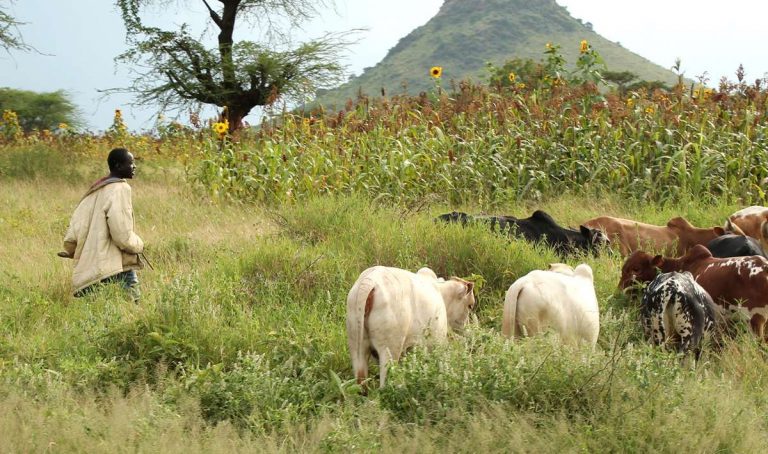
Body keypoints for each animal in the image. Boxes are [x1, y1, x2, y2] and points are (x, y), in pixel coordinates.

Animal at [346, 266, 474, 386]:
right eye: (470, 305)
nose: (468, 330)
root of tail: (369, 281)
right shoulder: (436, 342)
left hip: (356, 348)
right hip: (389, 351)